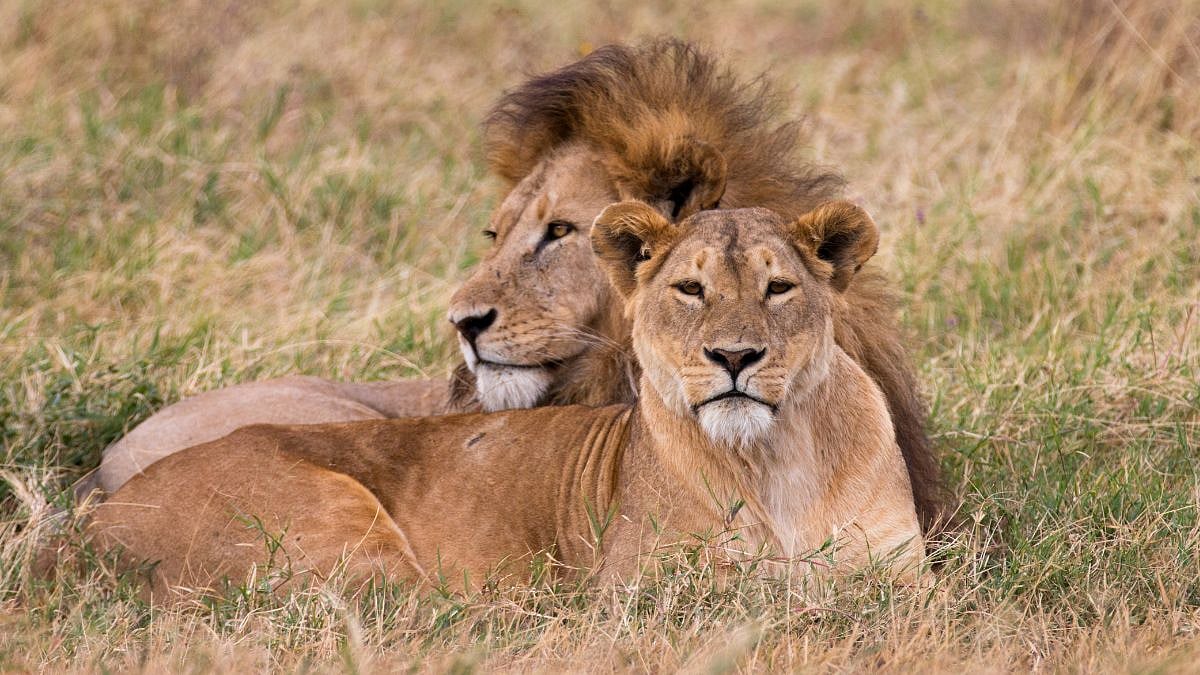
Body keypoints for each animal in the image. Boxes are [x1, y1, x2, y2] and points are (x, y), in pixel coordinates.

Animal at [88, 201, 924, 599]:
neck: (778, 456)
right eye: (690, 289)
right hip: (334, 525)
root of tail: (100, 513)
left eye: (779, 287)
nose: (735, 357)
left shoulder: (902, 575)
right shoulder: (649, 589)